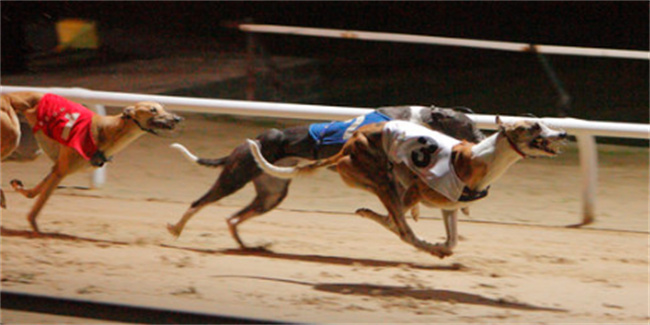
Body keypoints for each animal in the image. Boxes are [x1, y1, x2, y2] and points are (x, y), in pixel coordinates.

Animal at [2, 91, 181, 232]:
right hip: (13, 136)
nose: (178, 118)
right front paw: (36, 229)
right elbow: (37, 206)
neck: (108, 130)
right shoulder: (62, 170)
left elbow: (33, 193)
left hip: (28, 150)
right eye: (152, 109)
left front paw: (18, 187)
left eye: (163, 107)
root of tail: (7, 95)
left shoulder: (58, 167)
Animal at [251, 117, 564, 256]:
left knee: (398, 220)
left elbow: (451, 240)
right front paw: (431, 244)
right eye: (534, 126)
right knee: (401, 227)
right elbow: (398, 224)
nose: (563, 133)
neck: (478, 158)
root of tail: (346, 148)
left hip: (388, 179)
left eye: (545, 123)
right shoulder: (417, 189)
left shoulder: (449, 205)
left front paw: (442, 245)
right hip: (384, 178)